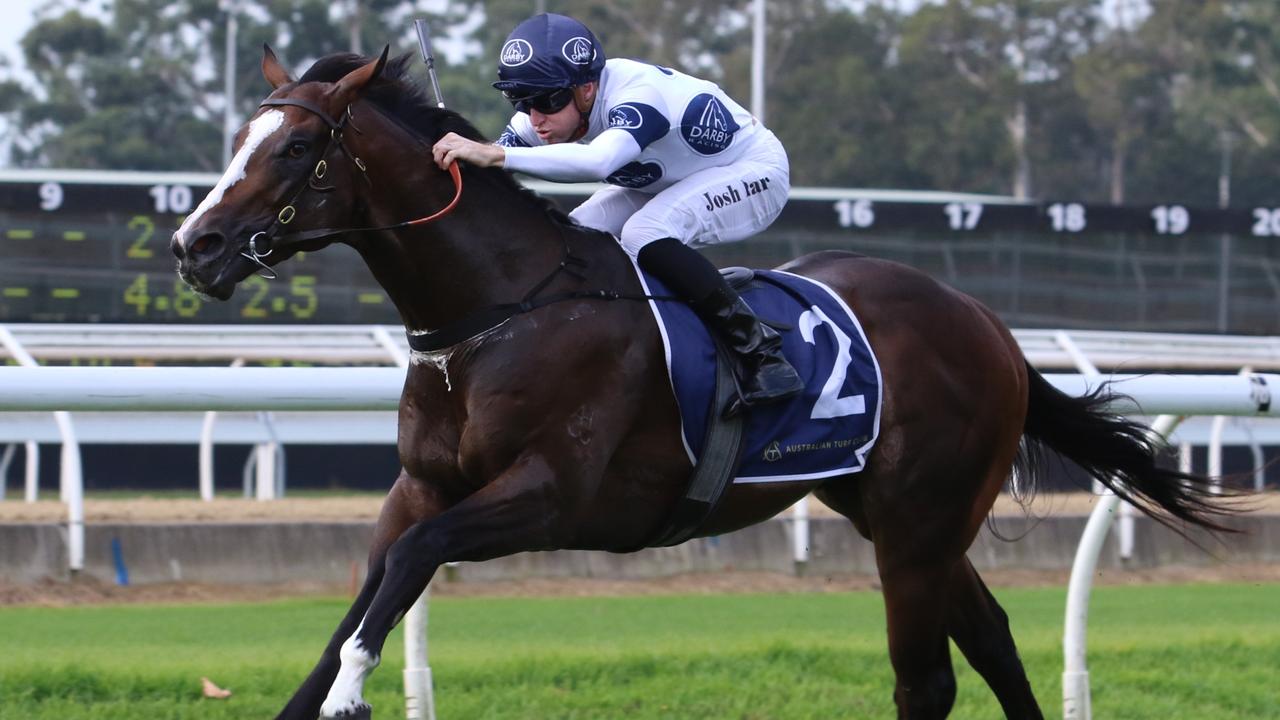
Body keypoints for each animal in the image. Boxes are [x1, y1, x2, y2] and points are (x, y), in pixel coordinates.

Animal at [170, 47, 1228, 712]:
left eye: (295, 150)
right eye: (236, 145)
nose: (194, 246)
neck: (497, 313)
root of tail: (990, 329)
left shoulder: (550, 497)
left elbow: (411, 568)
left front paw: (354, 692)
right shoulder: (421, 487)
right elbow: (377, 585)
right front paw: (329, 686)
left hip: (920, 521)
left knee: (926, 679)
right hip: (893, 513)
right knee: (997, 643)